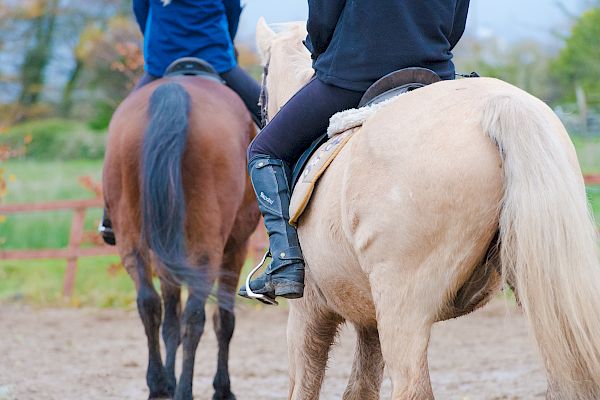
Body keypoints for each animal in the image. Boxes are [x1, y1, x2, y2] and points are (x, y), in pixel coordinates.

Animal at [101, 76, 260, 400]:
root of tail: (173, 90)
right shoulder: (236, 248)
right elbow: (224, 319)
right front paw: (222, 388)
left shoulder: (165, 259)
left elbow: (169, 324)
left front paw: (169, 379)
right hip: (208, 250)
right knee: (195, 316)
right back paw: (185, 390)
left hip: (133, 240)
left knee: (149, 305)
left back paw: (159, 385)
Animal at [258, 20, 600, 398]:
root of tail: (498, 105)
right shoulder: (368, 318)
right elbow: (361, 387)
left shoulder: (307, 312)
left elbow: (304, 386)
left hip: (403, 306)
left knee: (412, 385)